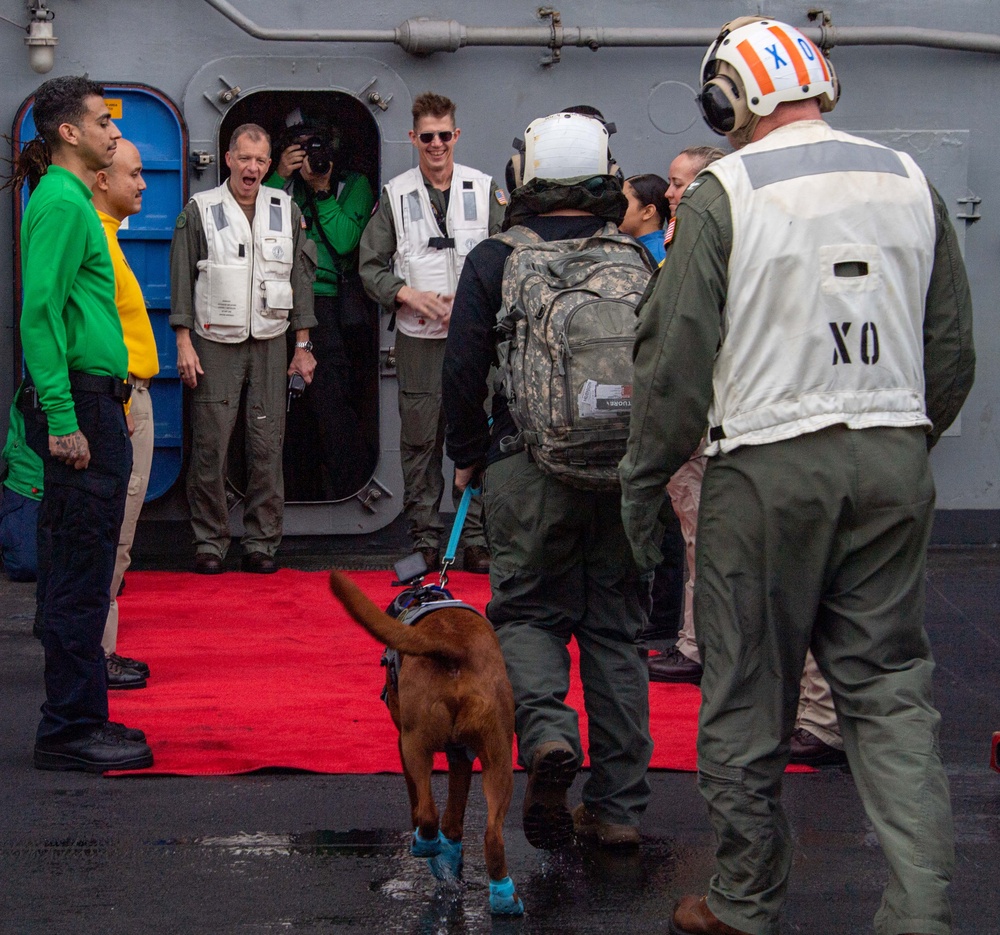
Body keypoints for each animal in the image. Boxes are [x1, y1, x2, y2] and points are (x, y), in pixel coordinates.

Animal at [332, 572, 528, 916]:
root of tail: (454, 647)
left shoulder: (405, 746)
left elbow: (421, 804)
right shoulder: (461, 757)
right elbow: (454, 817)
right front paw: (452, 856)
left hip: (416, 746)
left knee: (426, 814)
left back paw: (426, 846)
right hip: (499, 762)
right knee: (491, 836)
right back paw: (502, 897)